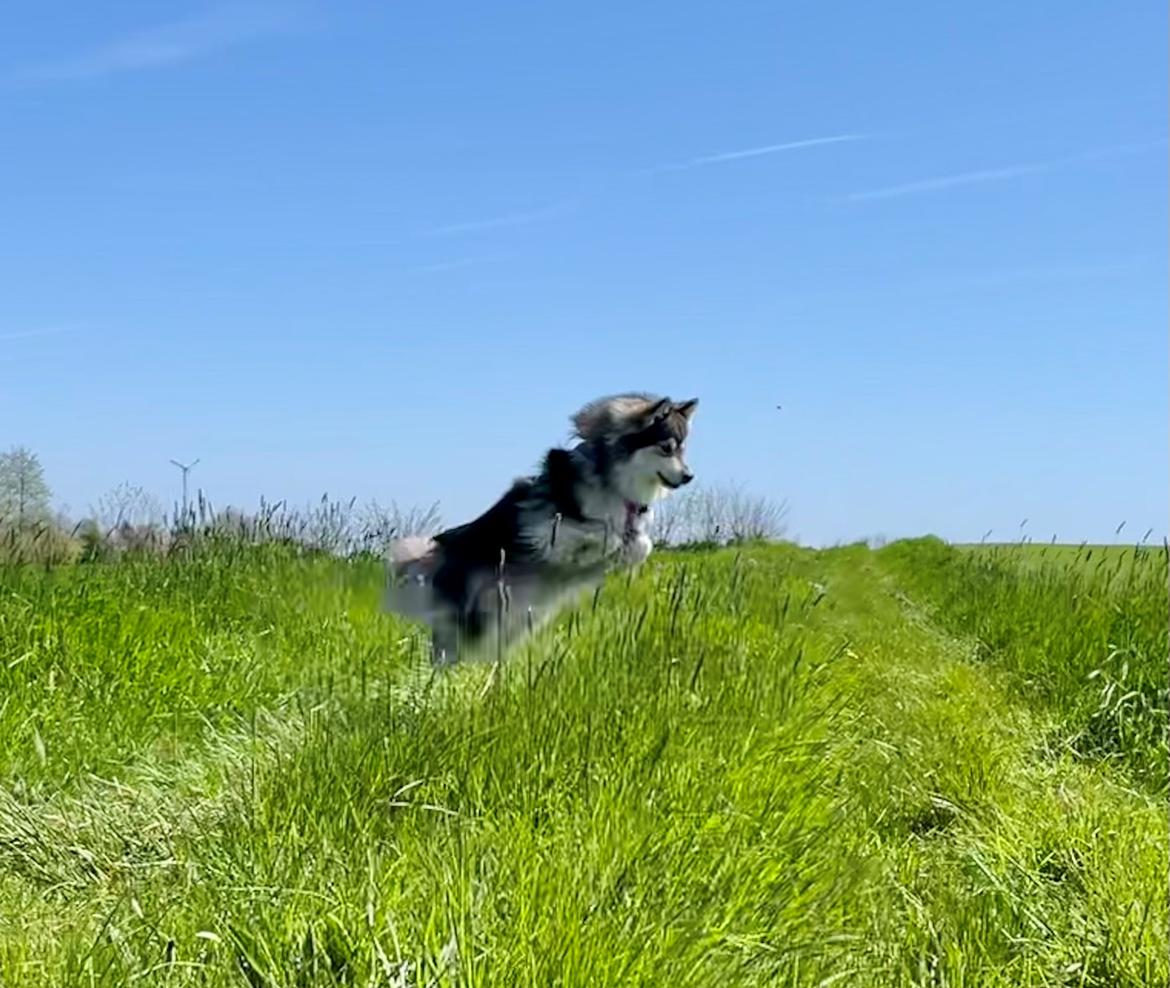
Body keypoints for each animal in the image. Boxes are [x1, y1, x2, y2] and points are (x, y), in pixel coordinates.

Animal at [383, 390, 697, 664]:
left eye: (684, 450)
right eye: (667, 448)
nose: (689, 476)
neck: (615, 484)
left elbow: (642, 544)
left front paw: (620, 554)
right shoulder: (545, 529)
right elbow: (600, 533)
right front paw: (600, 549)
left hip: (512, 622)